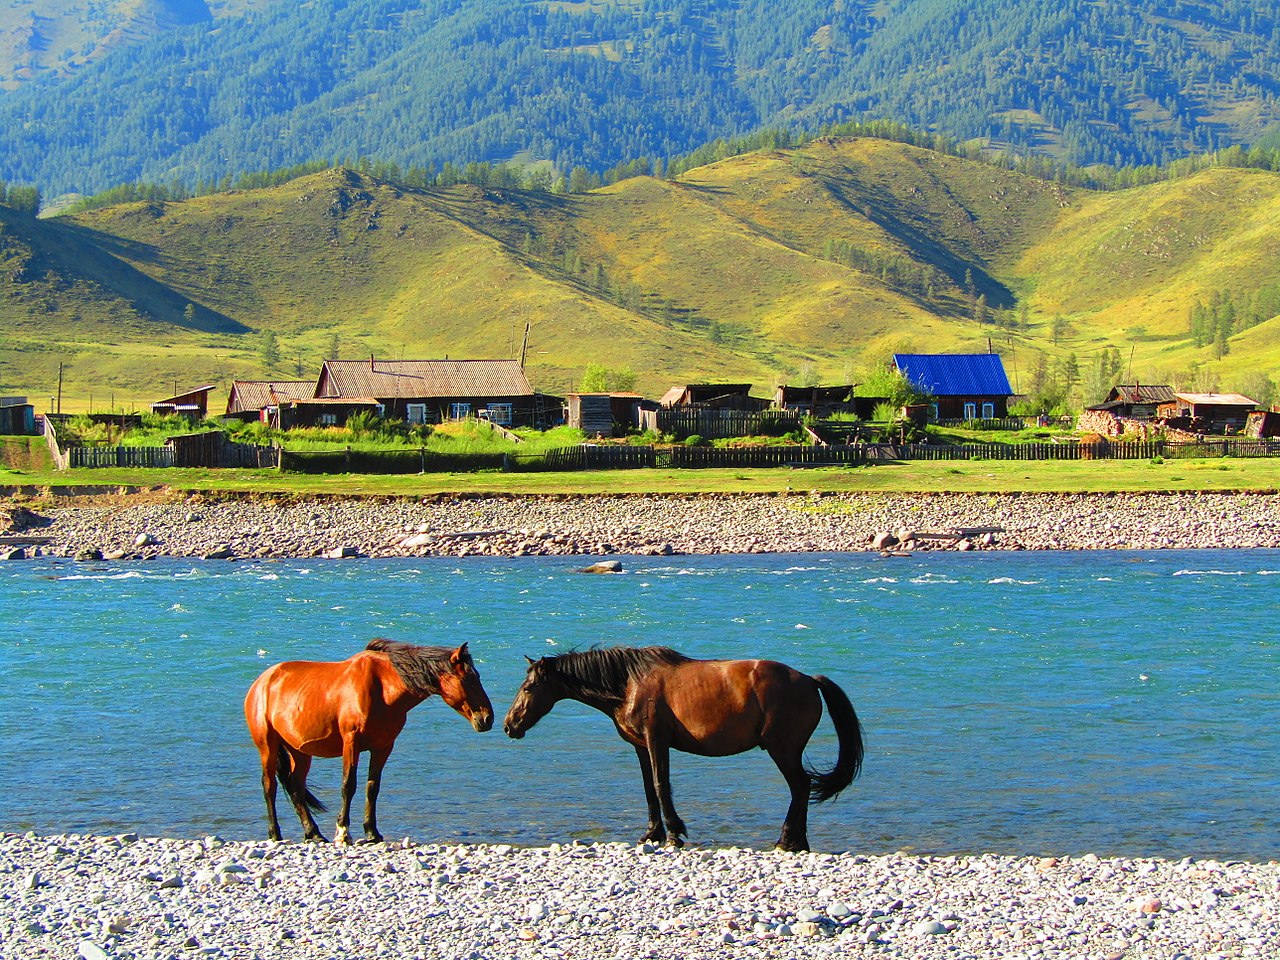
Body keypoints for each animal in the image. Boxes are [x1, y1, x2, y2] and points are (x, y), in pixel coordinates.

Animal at [245, 642, 494, 844]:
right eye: (468, 679)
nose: (486, 718)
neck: (382, 688)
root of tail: (261, 682)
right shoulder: (351, 742)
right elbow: (349, 785)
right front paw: (343, 833)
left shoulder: (383, 747)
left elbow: (372, 787)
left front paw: (372, 833)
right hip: (267, 745)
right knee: (269, 786)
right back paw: (275, 833)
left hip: (299, 751)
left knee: (295, 787)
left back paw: (313, 834)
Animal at [504, 650, 865, 855]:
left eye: (529, 688)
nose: (509, 725)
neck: (629, 684)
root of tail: (808, 680)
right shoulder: (640, 746)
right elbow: (649, 789)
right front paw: (651, 834)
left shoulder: (656, 741)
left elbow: (661, 786)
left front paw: (674, 833)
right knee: (800, 790)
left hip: (783, 750)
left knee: (800, 788)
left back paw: (789, 841)